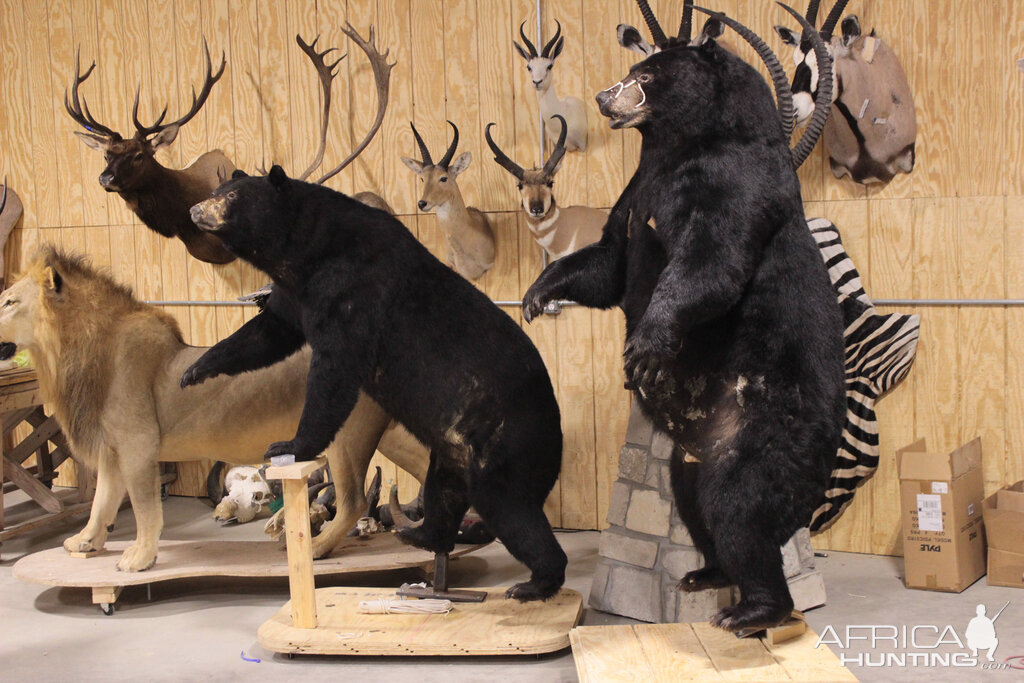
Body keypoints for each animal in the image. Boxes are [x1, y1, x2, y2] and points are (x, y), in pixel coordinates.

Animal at [184, 166, 569, 602]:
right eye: (218, 188)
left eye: (232, 196)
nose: (195, 209)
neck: (306, 251)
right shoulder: (295, 293)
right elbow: (269, 332)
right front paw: (196, 369)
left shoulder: (352, 293)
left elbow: (333, 372)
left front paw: (290, 443)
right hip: (455, 453)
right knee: (444, 491)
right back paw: (419, 534)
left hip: (504, 444)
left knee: (510, 510)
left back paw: (534, 584)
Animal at [524, 1, 843, 630]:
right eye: (634, 65)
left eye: (647, 75)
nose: (604, 97)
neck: (677, 147)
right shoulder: (635, 192)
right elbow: (607, 263)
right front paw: (536, 294)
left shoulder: (734, 180)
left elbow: (710, 260)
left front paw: (646, 346)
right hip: (688, 458)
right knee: (697, 502)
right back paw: (706, 574)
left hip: (777, 423)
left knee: (741, 504)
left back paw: (753, 610)